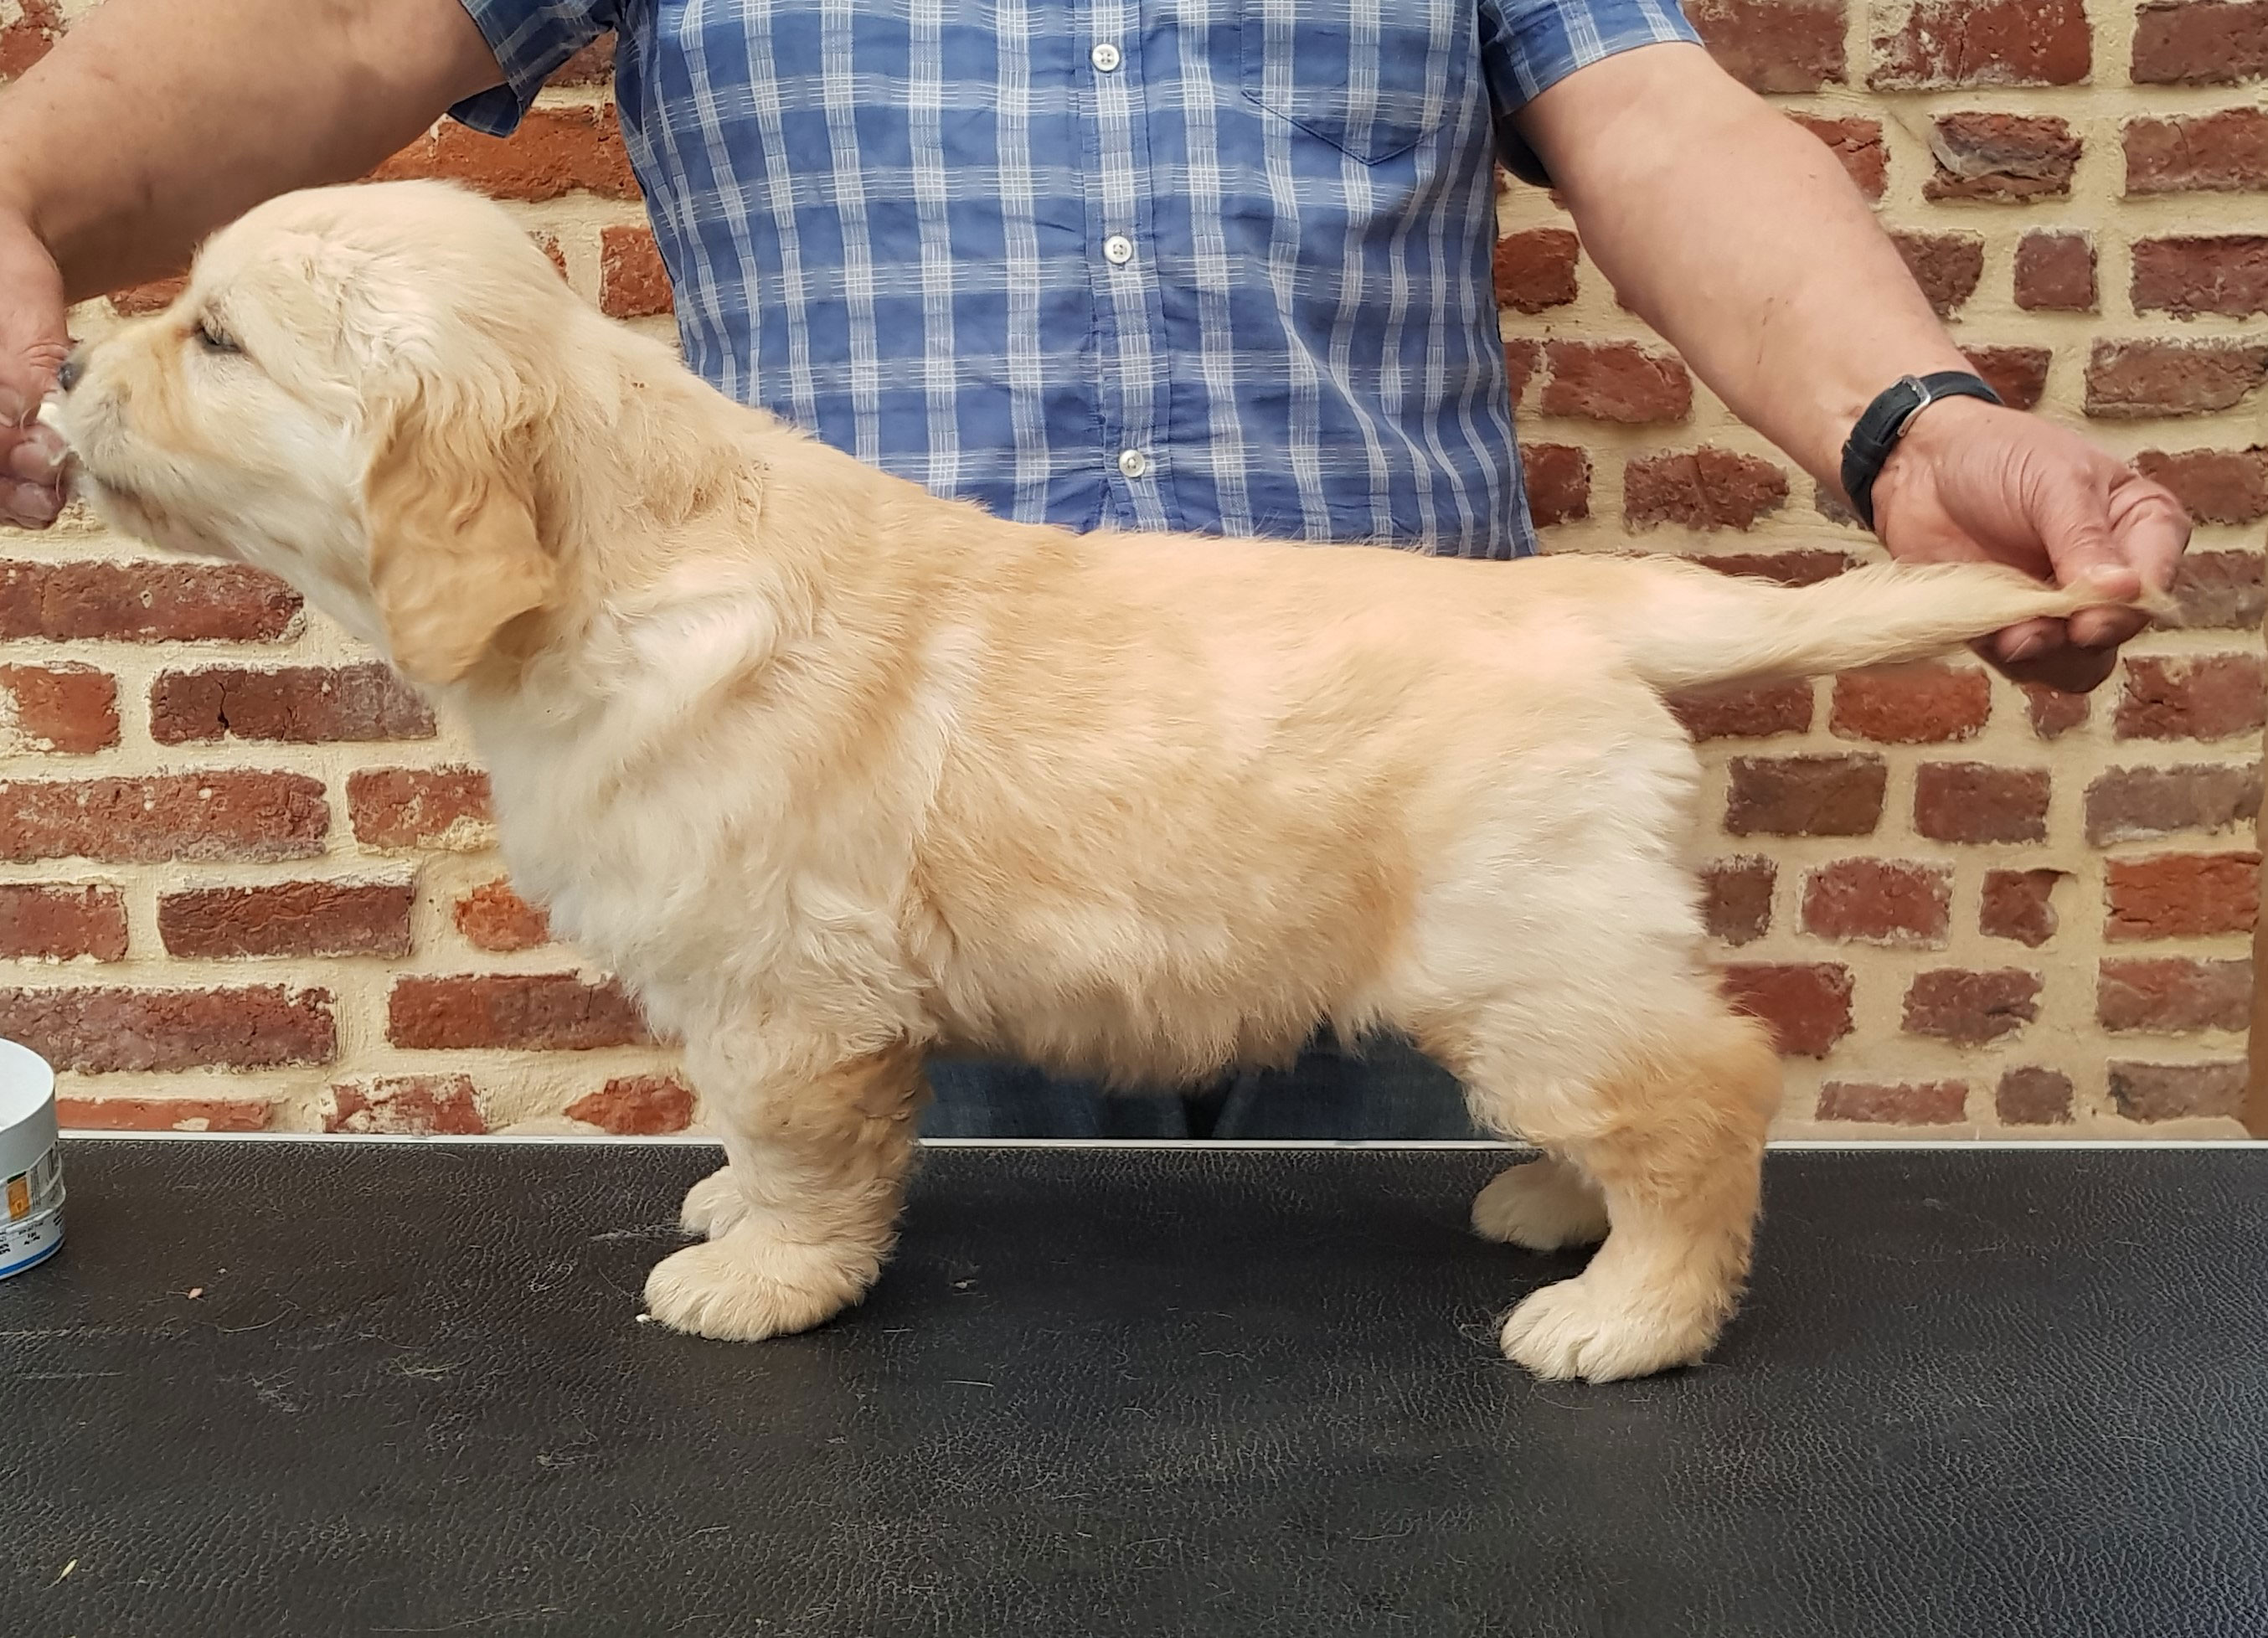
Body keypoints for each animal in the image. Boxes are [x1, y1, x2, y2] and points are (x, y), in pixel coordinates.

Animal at [49, 179, 2141, 1379]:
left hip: (1518, 950)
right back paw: (1564, 1212)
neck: (623, 559)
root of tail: (1602, 611)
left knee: (1705, 1093)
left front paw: (768, 1280)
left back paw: (1627, 1315)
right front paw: (728, 1213)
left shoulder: (792, 987)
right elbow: (747, 1135)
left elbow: (804, 1151)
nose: (61, 360)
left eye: (215, 335)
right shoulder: (747, 979)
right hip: (1556, 949)